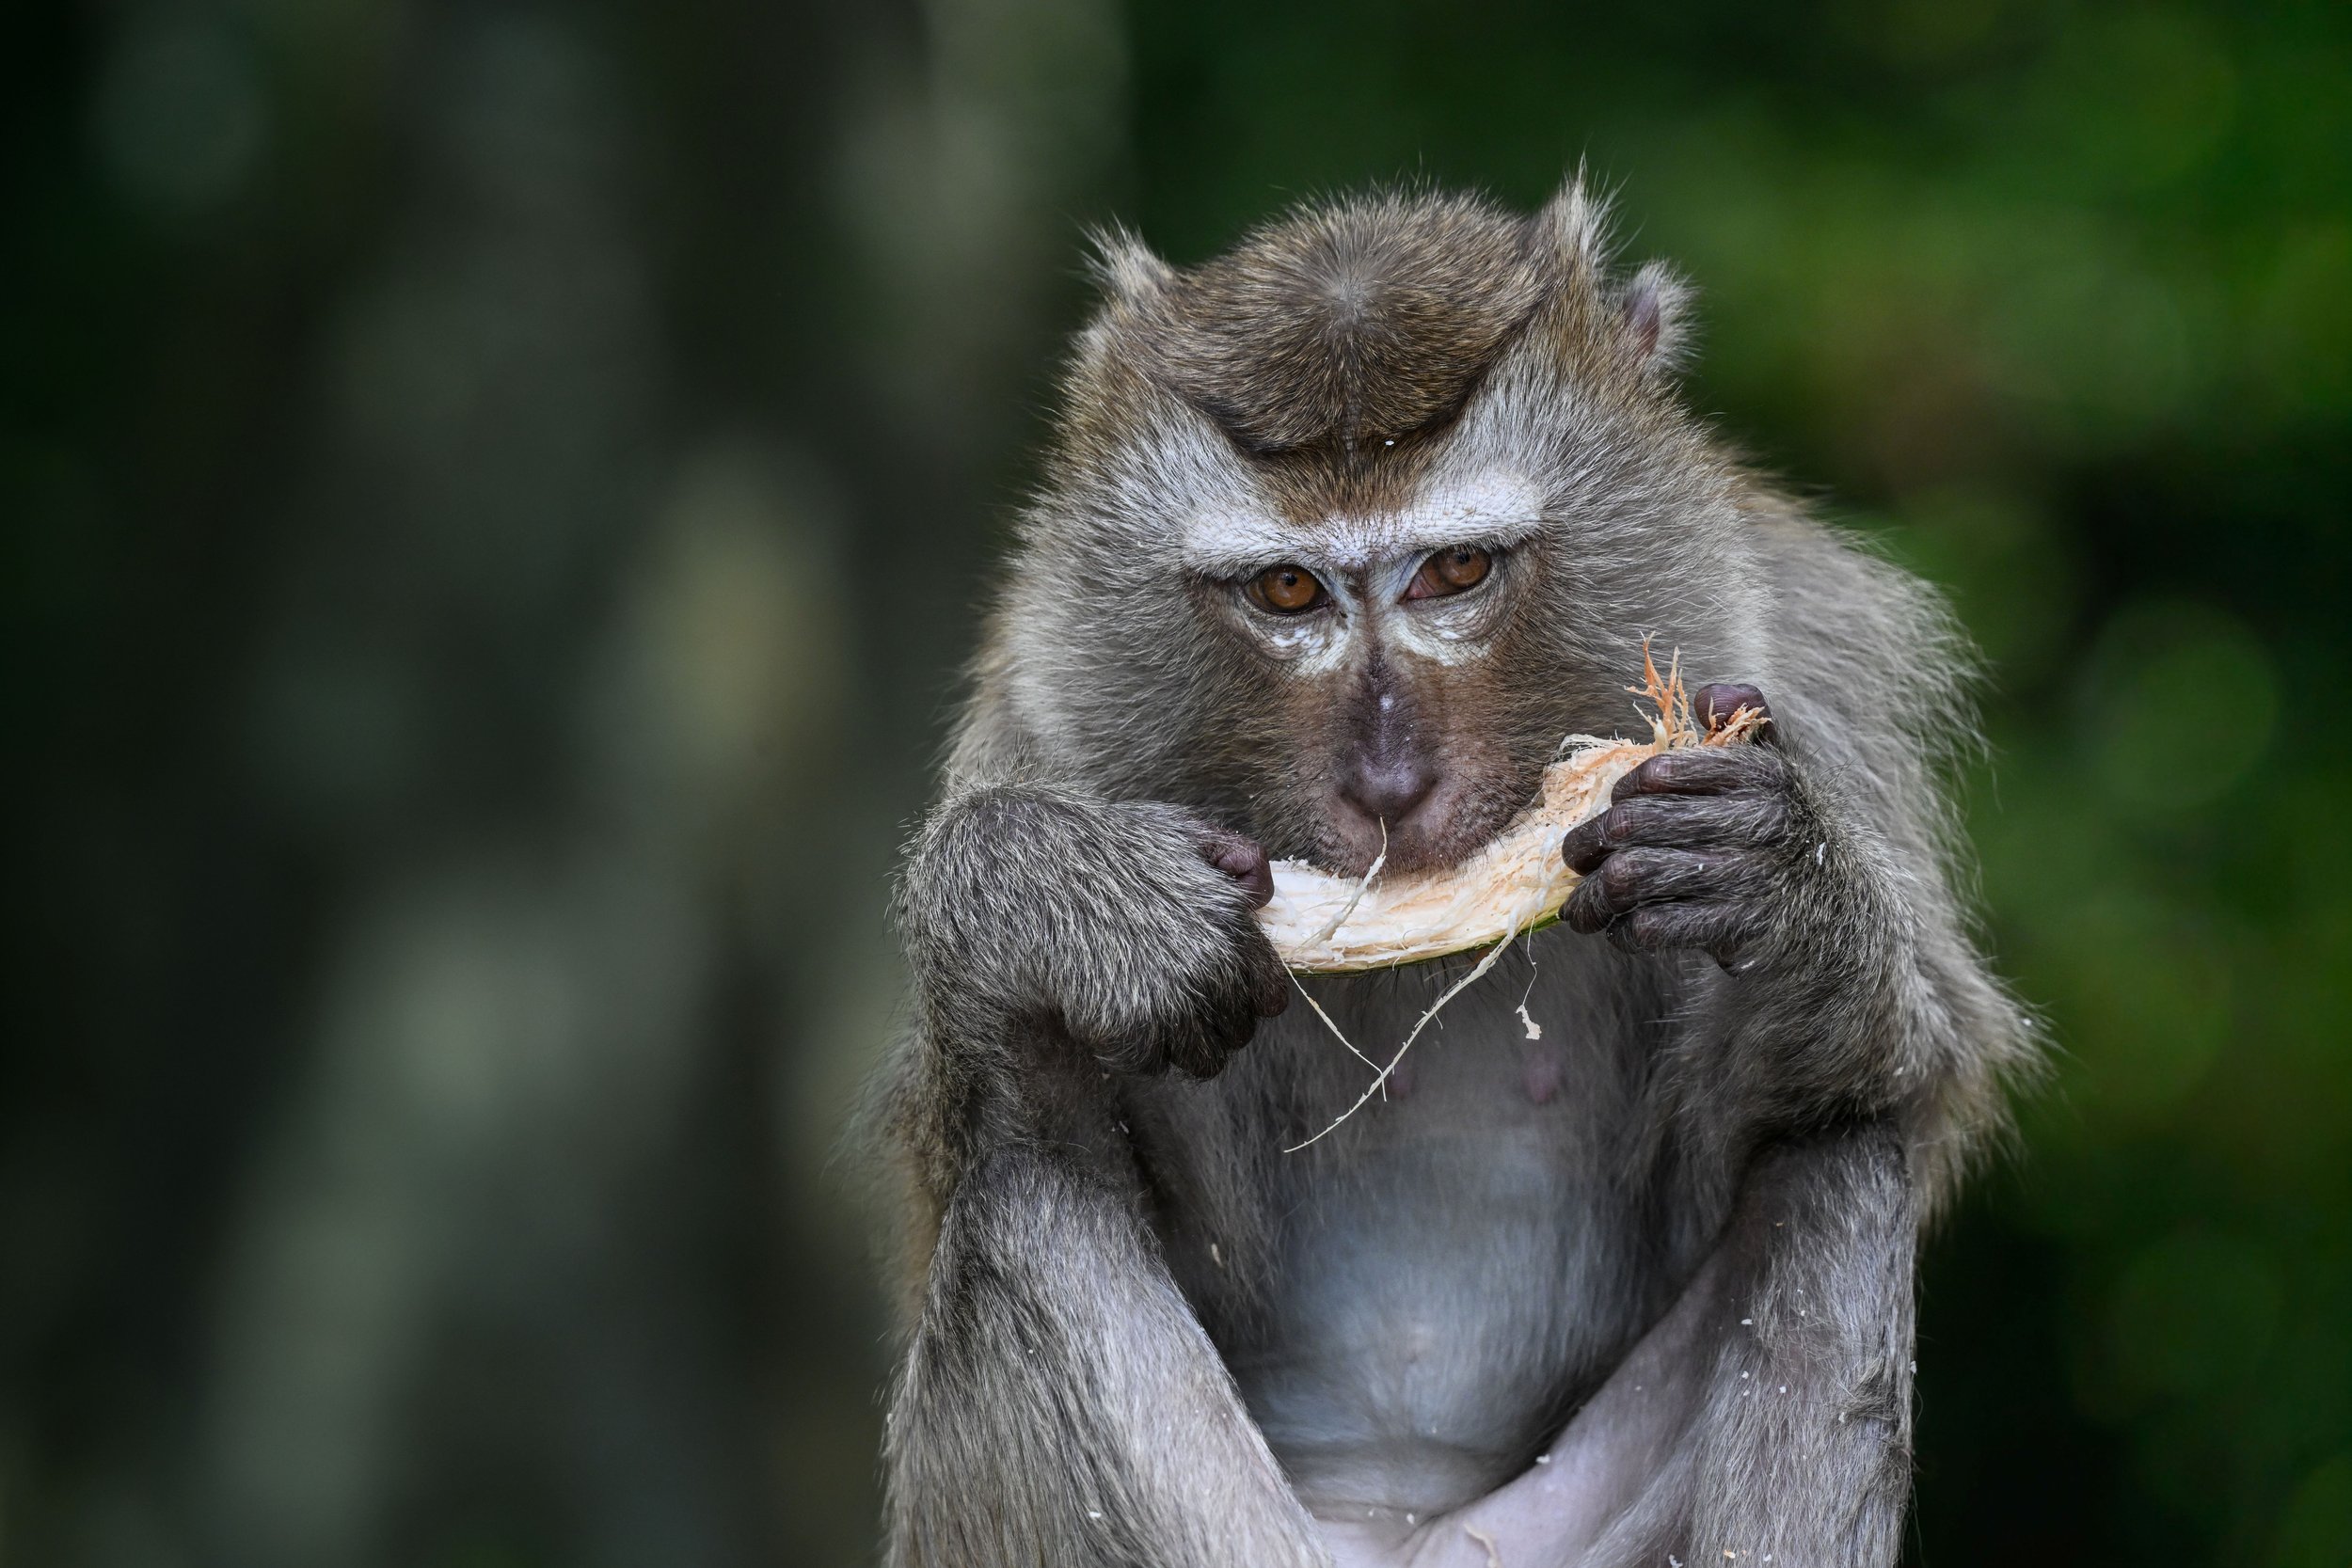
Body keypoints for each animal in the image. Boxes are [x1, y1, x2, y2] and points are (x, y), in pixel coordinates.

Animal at [872, 178, 2036, 1568]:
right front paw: (1065, 897)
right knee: (1026, 1185)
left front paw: (1785, 893)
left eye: (1455, 571)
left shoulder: (1807, 667)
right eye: (1287, 590)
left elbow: (1888, 1077)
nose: (1387, 784)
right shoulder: (1044, 720)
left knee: (1838, 1164)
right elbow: (1000, 1145)